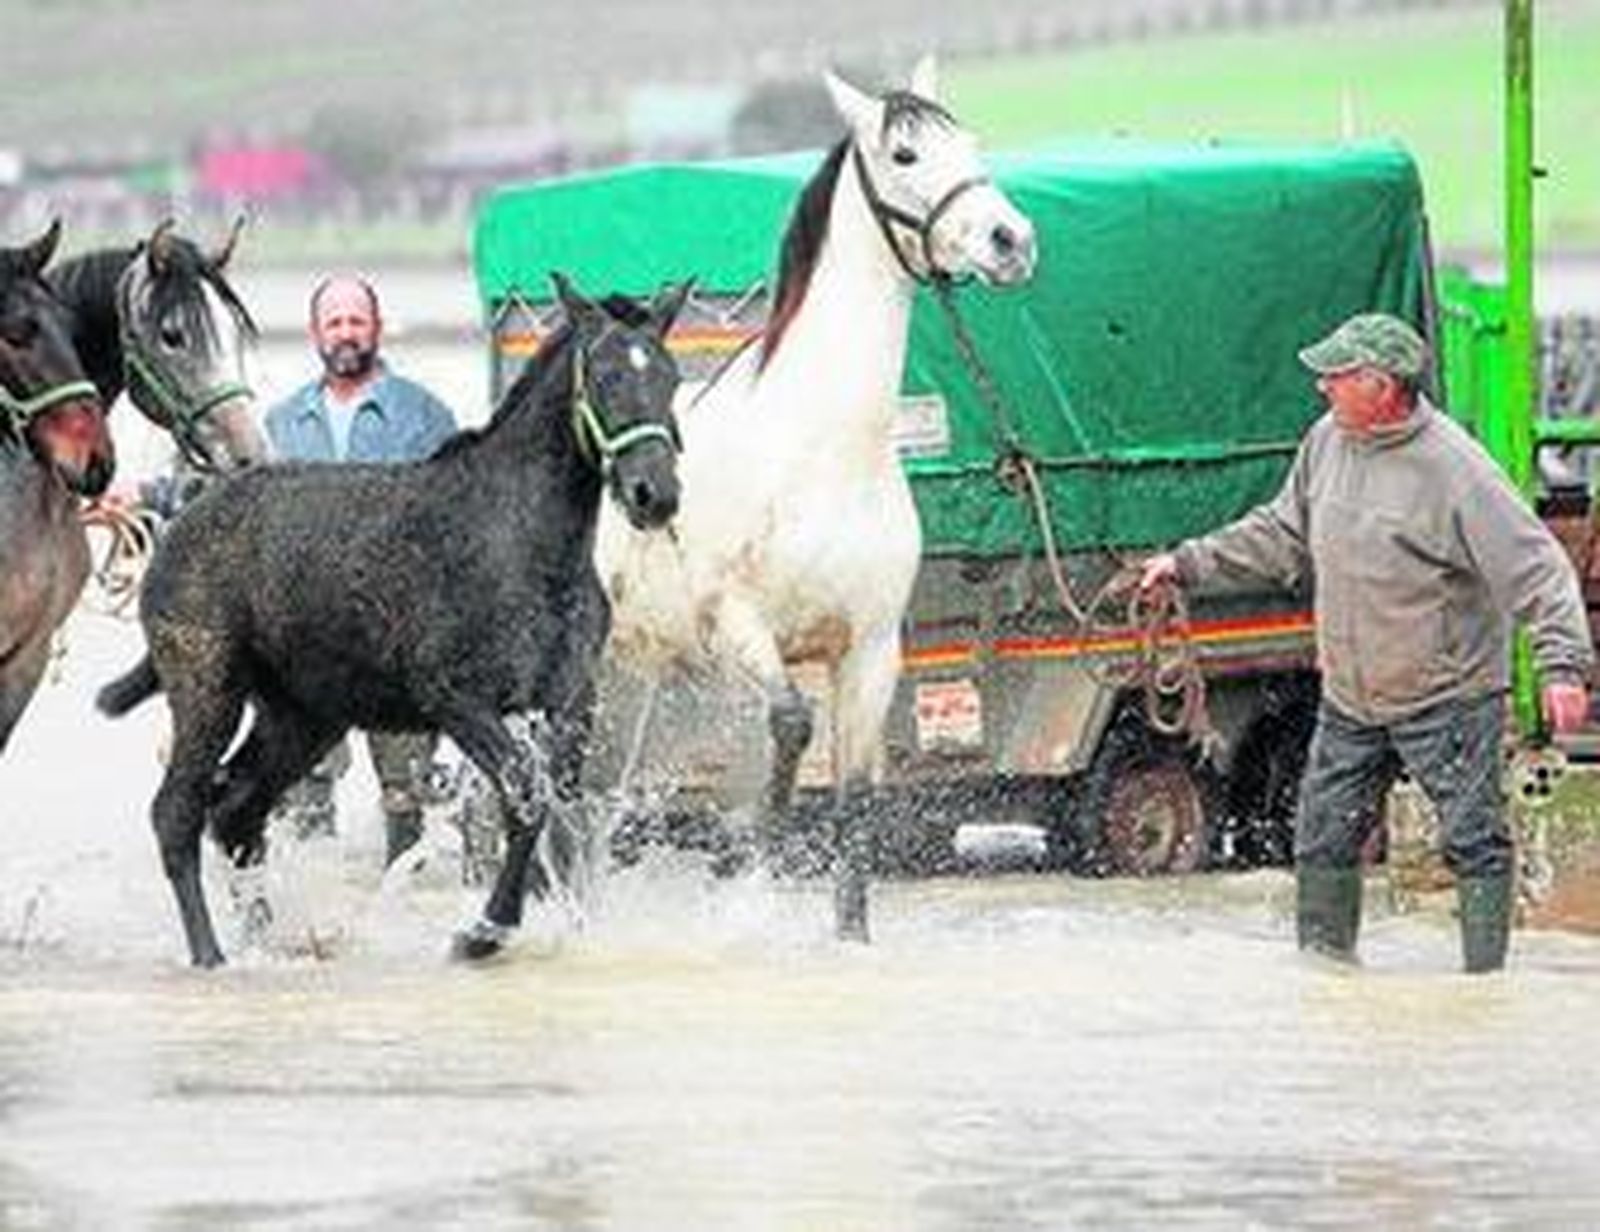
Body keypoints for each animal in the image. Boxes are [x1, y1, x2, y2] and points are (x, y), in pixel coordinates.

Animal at [97, 275, 690, 967]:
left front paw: (571, 928)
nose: (654, 494)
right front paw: (483, 931)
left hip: (303, 715)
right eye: (603, 374)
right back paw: (212, 953)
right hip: (205, 686)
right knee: (179, 811)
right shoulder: (457, 698)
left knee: (238, 809)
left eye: (671, 376)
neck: (528, 543)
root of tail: (178, 518)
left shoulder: (571, 701)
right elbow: (525, 795)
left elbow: (566, 812)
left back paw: (263, 939)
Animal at [594, 58, 1037, 939]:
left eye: (970, 142)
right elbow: (790, 729)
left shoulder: (868, 649)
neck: (822, 451)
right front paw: (744, 867)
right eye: (904, 154)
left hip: (647, 671)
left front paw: (849, 931)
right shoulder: (739, 629)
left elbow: (854, 800)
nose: (1013, 242)